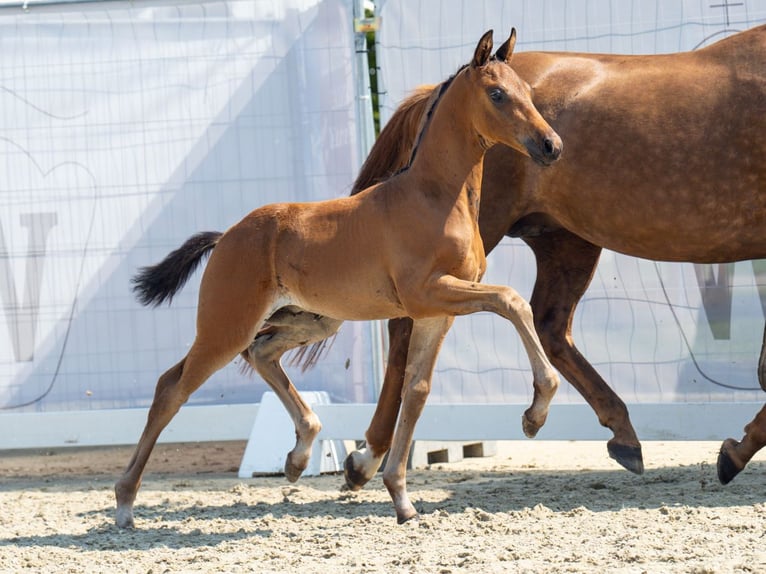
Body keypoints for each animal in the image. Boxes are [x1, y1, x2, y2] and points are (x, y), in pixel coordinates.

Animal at [117, 29, 568, 528]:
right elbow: (511, 300)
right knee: (172, 387)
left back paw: (298, 457)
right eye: (497, 94)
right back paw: (124, 503)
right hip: (226, 326)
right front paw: (535, 414)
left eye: (527, 92)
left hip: (307, 319)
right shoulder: (428, 293)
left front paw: (401, 500)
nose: (551, 145)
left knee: (262, 354)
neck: (434, 197)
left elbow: (417, 391)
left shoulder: (435, 312)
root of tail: (227, 236)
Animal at [340, 21, 766, 490]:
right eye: (498, 96)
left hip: (565, 240)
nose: (551, 146)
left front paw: (736, 451)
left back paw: (613, 431)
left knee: (549, 324)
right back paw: (367, 456)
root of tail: (439, 87)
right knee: (406, 325)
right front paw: (735, 452)